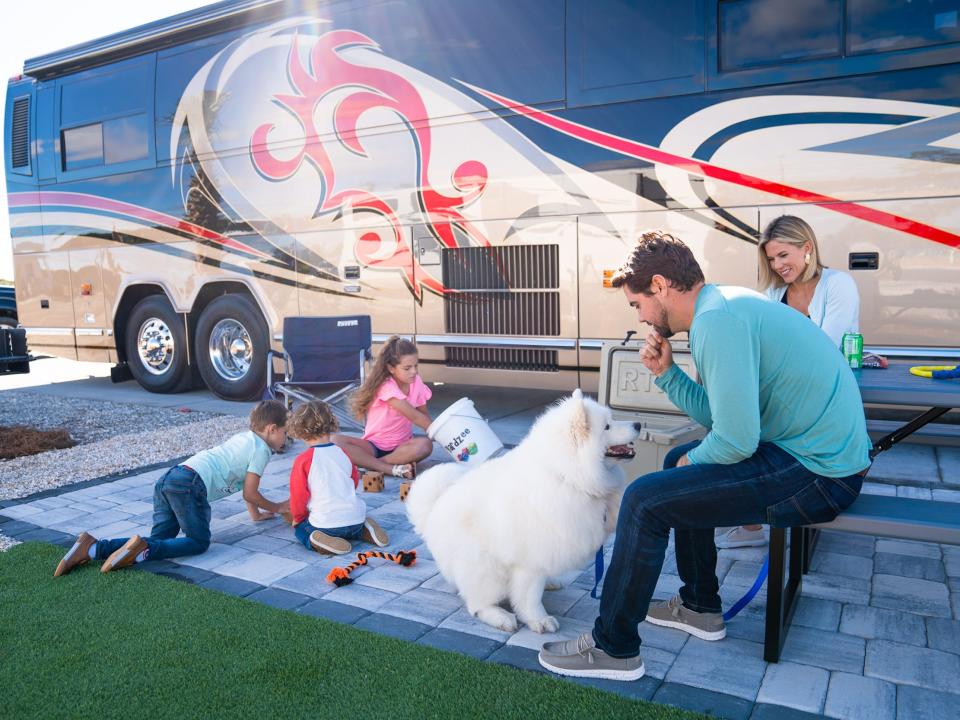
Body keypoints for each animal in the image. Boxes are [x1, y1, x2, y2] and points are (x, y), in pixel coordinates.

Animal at [402, 390, 640, 632]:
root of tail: (431, 512)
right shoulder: (529, 562)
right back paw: (501, 617)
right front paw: (539, 620)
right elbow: (529, 597)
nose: (638, 424)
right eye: (607, 427)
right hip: (487, 569)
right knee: (477, 604)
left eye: (612, 419)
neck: (566, 475)